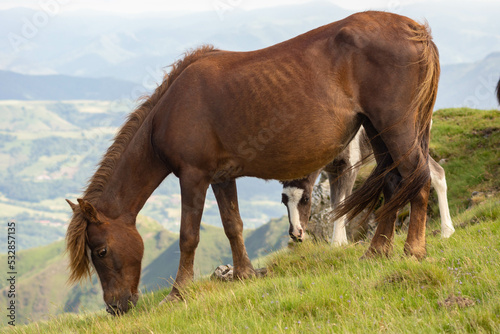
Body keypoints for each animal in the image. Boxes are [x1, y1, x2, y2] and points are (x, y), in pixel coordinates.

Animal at [64, 11, 440, 314]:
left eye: (100, 251)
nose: (115, 307)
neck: (170, 110)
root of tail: (415, 31)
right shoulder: (220, 177)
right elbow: (233, 225)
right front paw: (244, 274)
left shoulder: (193, 177)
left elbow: (189, 236)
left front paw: (178, 293)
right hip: (378, 131)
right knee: (394, 183)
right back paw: (376, 252)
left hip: (398, 129)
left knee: (418, 180)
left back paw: (414, 251)